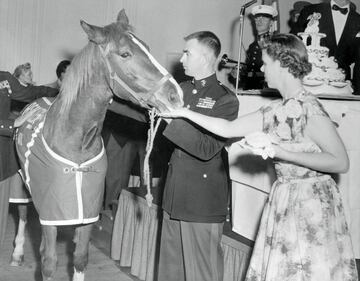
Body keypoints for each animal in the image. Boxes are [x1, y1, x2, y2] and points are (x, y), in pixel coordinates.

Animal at [12, 9, 184, 280]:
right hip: (19, 181)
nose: (175, 95)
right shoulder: (50, 215)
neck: (75, 141)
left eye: (146, 47)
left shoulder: (87, 212)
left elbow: (81, 258)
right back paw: (17, 253)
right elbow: (48, 262)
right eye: (125, 54)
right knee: (20, 213)